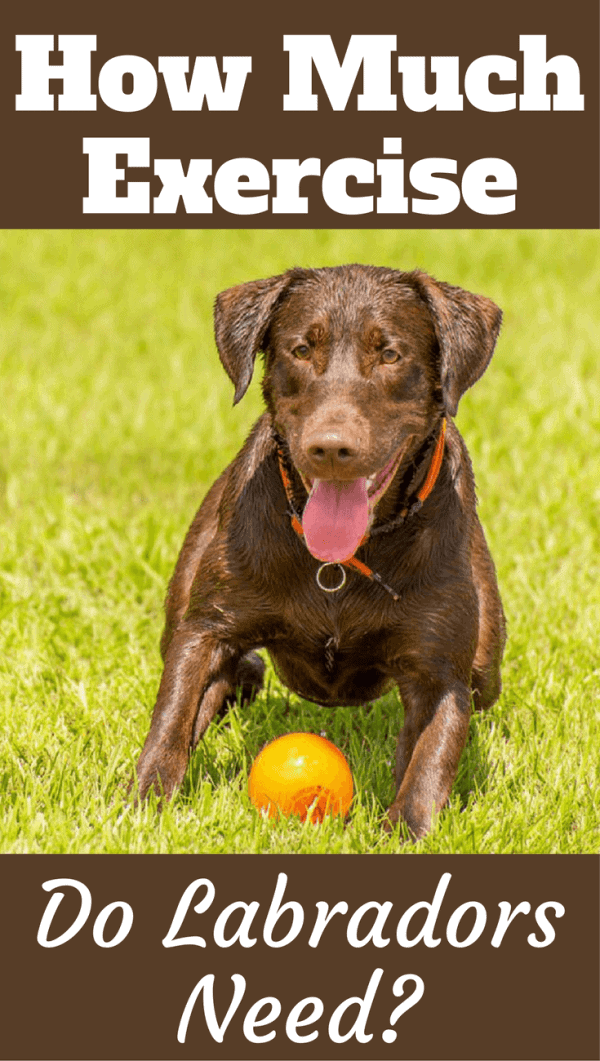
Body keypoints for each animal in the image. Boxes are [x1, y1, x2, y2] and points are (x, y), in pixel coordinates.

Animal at [136, 265, 508, 836]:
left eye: (390, 354)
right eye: (301, 349)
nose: (331, 447)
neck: (341, 563)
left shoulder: (441, 674)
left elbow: (429, 761)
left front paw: (404, 832)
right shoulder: (206, 629)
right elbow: (172, 717)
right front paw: (142, 804)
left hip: (487, 657)